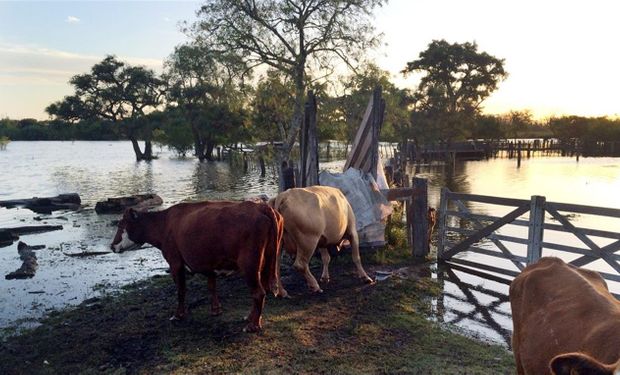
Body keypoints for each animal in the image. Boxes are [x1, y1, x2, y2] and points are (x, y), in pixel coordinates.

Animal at [111, 201, 284, 334]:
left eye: (120, 224)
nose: (112, 246)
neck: (164, 224)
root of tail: (259, 206)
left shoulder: (175, 262)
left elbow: (181, 291)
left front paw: (179, 315)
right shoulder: (209, 263)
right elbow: (211, 286)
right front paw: (215, 310)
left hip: (249, 265)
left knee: (258, 292)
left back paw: (253, 325)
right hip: (265, 262)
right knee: (261, 291)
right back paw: (251, 317)